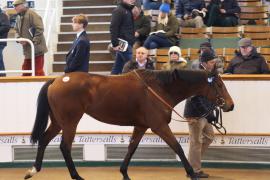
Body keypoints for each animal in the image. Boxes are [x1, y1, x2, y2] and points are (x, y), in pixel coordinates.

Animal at [24, 68, 233, 179]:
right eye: (219, 85)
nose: (230, 105)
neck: (159, 88)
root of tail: (57, 80)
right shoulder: (159, 126)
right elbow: (178, 148)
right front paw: (192, 172)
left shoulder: (141, 126)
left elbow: (131, 148)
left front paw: (124, 173)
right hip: (70, 121)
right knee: (65, 146)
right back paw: (76, 175)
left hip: (58, 121)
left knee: (44, 140)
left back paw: (33, 170)